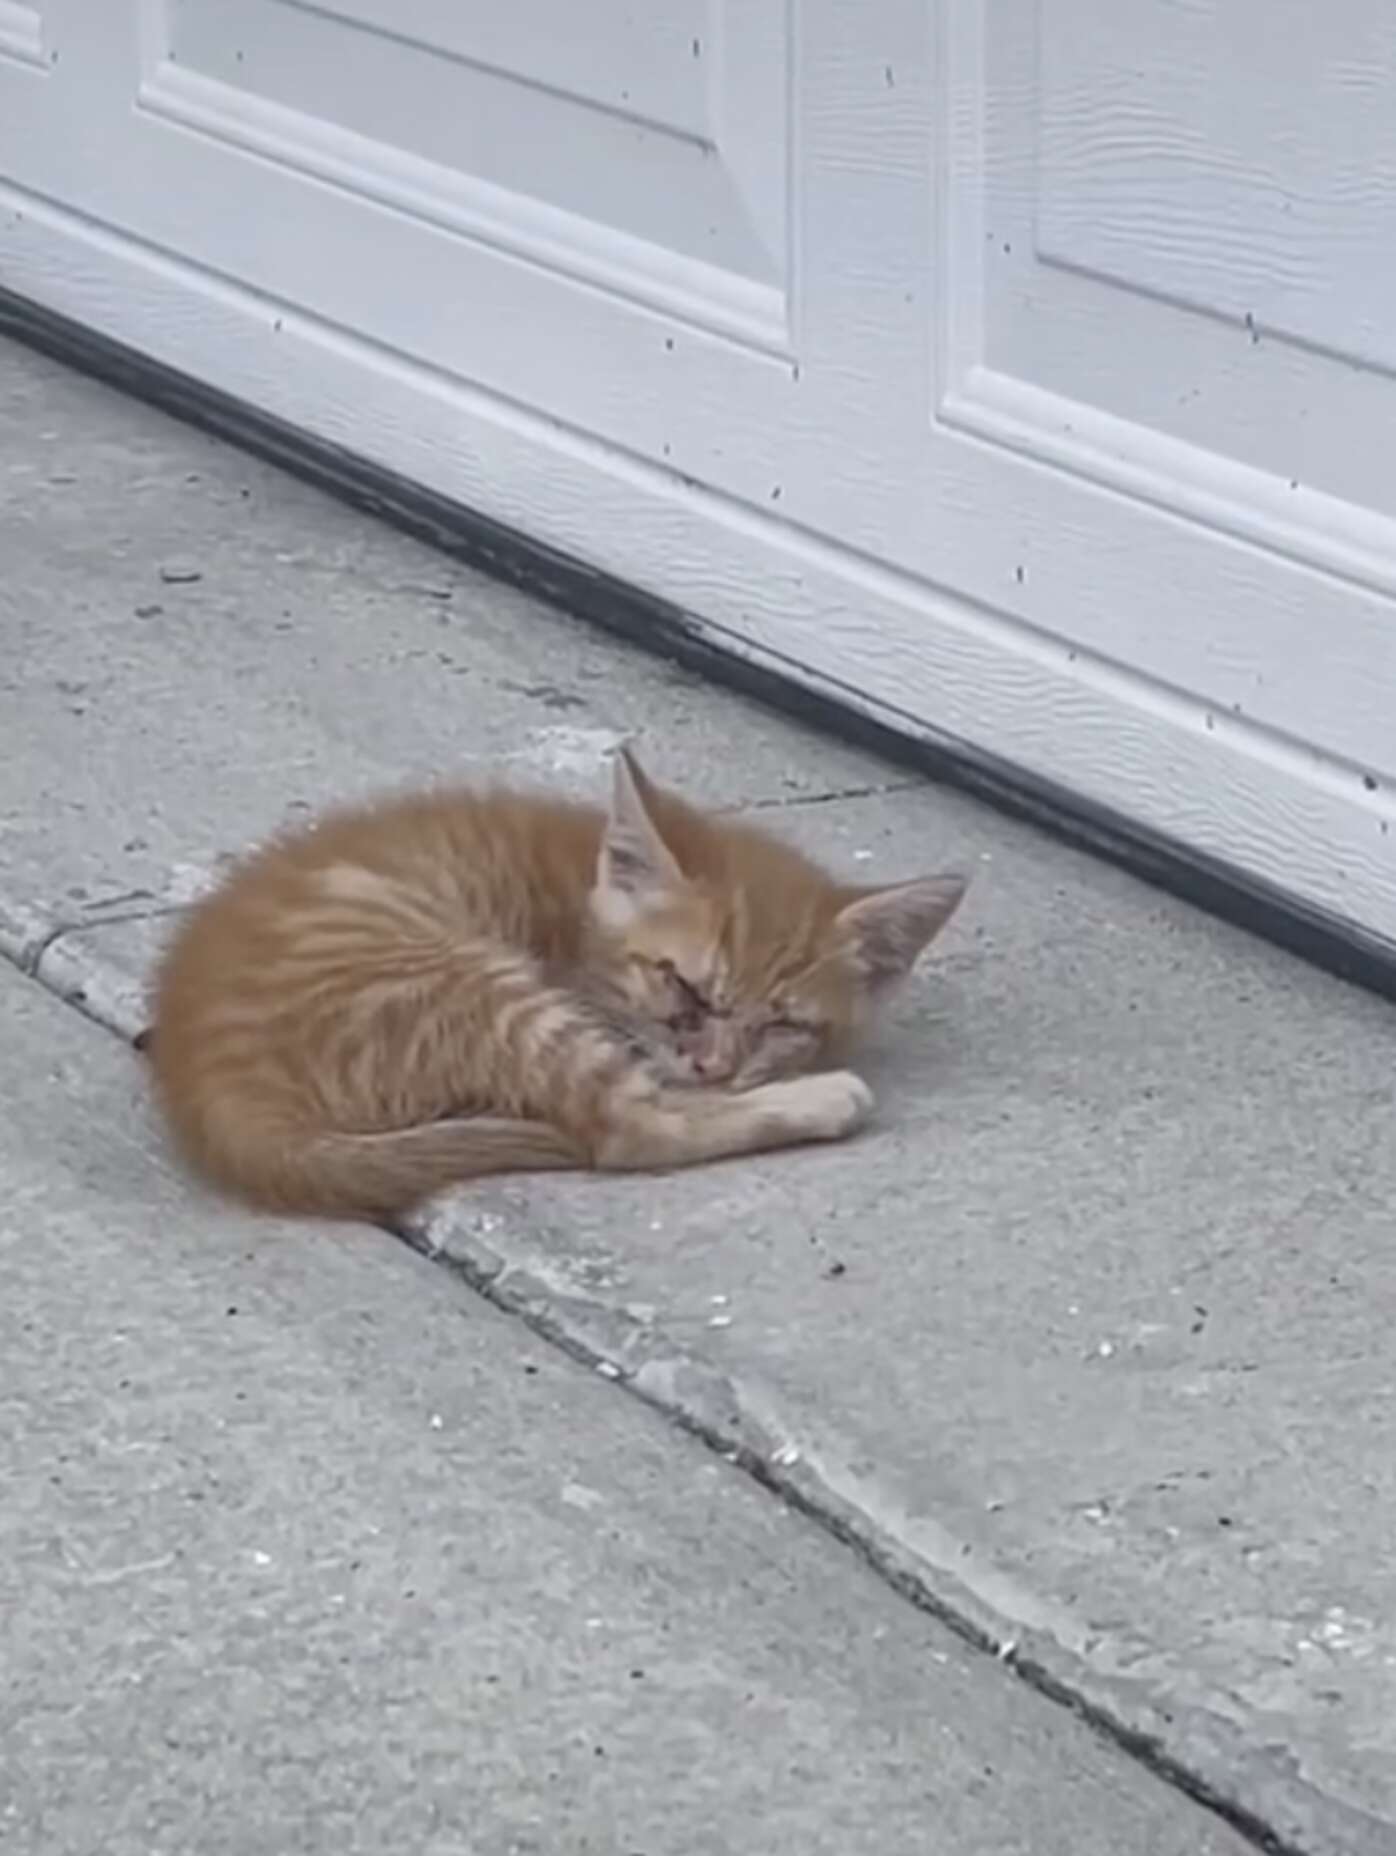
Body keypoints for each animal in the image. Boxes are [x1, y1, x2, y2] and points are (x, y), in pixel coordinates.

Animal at [147, 746, 965, 1224]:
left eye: (783, 1025)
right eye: (684, 988)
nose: (715, 1067)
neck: (579, 903)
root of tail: (207, 1081)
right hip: (481, 987)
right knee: (631, 1129)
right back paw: (821, 1100)